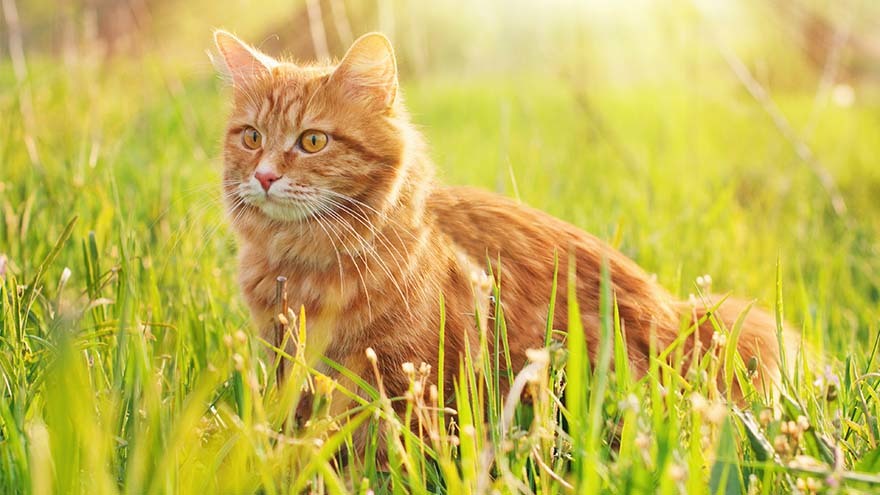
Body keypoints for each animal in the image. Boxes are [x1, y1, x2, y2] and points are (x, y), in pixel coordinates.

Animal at [215, 32, 792, 422]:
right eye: (251, 137)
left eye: (313, 141)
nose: (264, 176)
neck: (301, 259)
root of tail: (679, 313)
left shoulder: (411, 372)